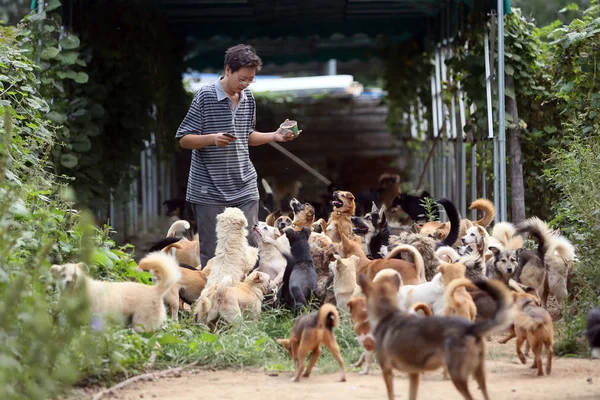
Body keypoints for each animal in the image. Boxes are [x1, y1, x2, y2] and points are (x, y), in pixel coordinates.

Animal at [358, 274, 512, 400]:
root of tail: (470, 328)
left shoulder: (387, 371)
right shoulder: (414, 374)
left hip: (458, 377)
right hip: (479, 376)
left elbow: (391, 395)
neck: (387, 315)